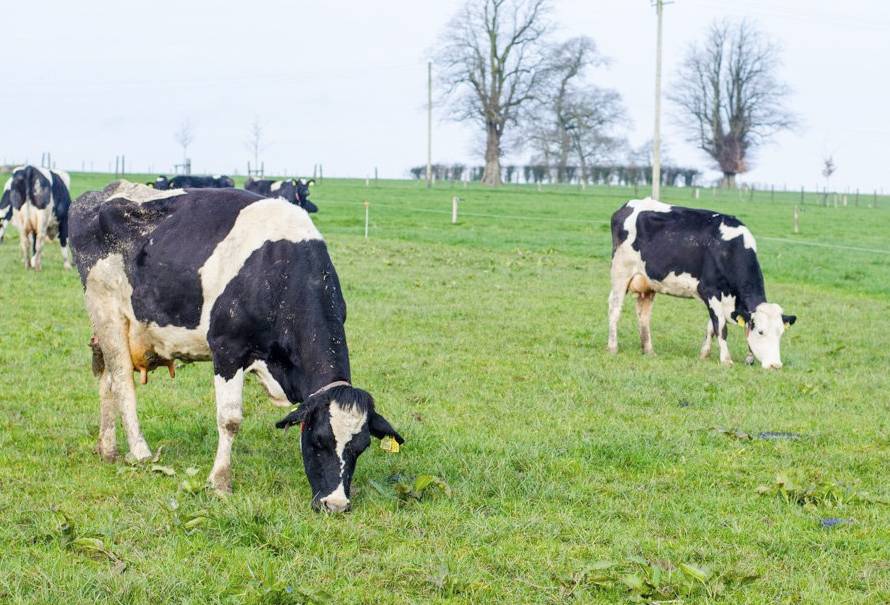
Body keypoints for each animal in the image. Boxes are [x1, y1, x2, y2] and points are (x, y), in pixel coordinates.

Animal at [69, 179, 402, 510]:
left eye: (361, 447)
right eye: (319, 440)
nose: (335, 505)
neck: (279, 271)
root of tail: (101, 193)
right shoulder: (227, 350)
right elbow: (229, 419)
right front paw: (219, 482)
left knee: (107, 380)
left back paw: (107, 448)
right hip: (106, 309)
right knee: (122, 381)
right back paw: (140, 452)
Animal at [608, 198, 796, 368]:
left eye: (781, 333)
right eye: (761, 331)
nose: (775, 365)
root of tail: (627, 205)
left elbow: (711, 327)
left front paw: (704, 355)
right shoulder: (710, 290)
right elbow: (721, 328)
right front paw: (726, 360)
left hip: (647, 283)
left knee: (644, 315)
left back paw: (648, 351)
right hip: (621, 271)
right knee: (615, 308)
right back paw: (612, 348)